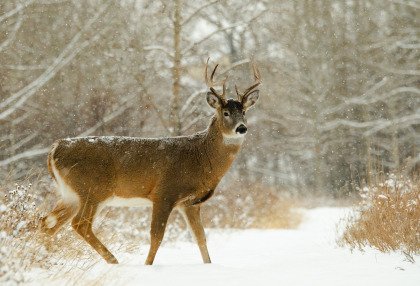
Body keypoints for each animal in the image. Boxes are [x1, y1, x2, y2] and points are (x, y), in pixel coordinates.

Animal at [41, 58, 260, 266]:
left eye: (244, 112)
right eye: (226, 113)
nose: (242, 128)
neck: (200, 157)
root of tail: (55, 148)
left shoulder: (190, 204)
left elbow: (200, 238)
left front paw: (209, 266)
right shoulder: (164, 193)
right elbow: (157, 236)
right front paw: (147, 265)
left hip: (70, 194)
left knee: (47, 222)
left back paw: (46, 258)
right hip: (93, 190)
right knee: (80, 225)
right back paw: (113, 260)